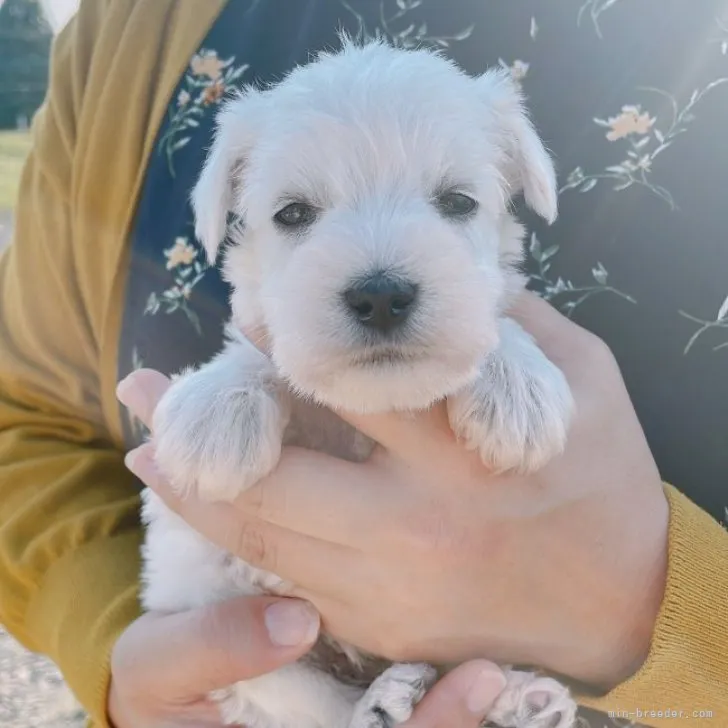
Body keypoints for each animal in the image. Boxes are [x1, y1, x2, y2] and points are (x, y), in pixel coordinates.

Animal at [139, 38, 576, 728]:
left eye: (458, 202)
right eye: (292, 213)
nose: (381, 296)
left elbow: (495, 319)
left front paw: (518, 387)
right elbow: (261, 351)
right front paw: (213, 413)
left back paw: (517, 697)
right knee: (308, 698)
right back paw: (385, 702)